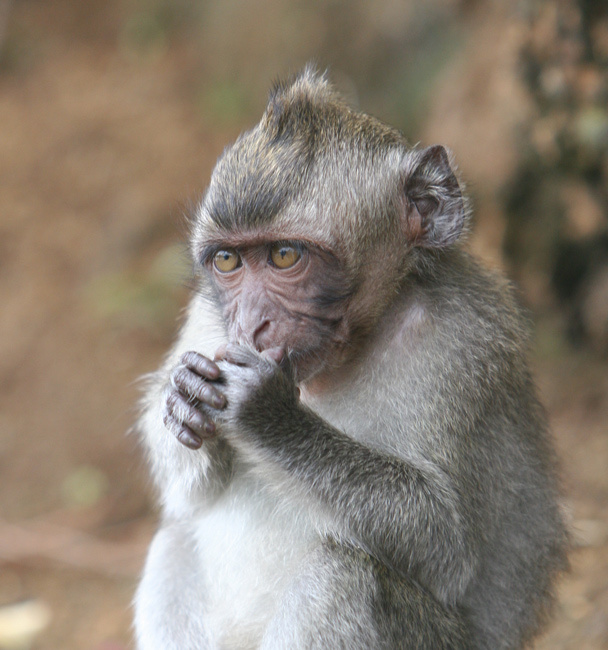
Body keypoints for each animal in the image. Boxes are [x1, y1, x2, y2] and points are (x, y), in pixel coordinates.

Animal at [133, 67, 568, 650]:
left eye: (284, 256)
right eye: (227, 260)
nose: (249, 324)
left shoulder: (464, 341)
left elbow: (446, 545)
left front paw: (268, 415)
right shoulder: (208, 317)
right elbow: (187, 501)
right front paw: (184, 394)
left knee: (343, 574)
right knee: (175, 540)